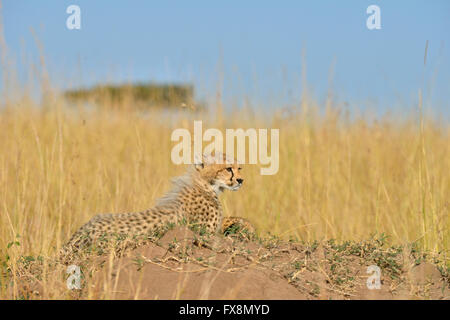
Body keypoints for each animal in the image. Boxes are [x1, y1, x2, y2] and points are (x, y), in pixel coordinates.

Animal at [58, 154, 253, 264]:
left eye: (239, 168)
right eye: (228, 169)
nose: (241, 180)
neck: (204, 184)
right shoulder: (207, 232)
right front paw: (247, 225)